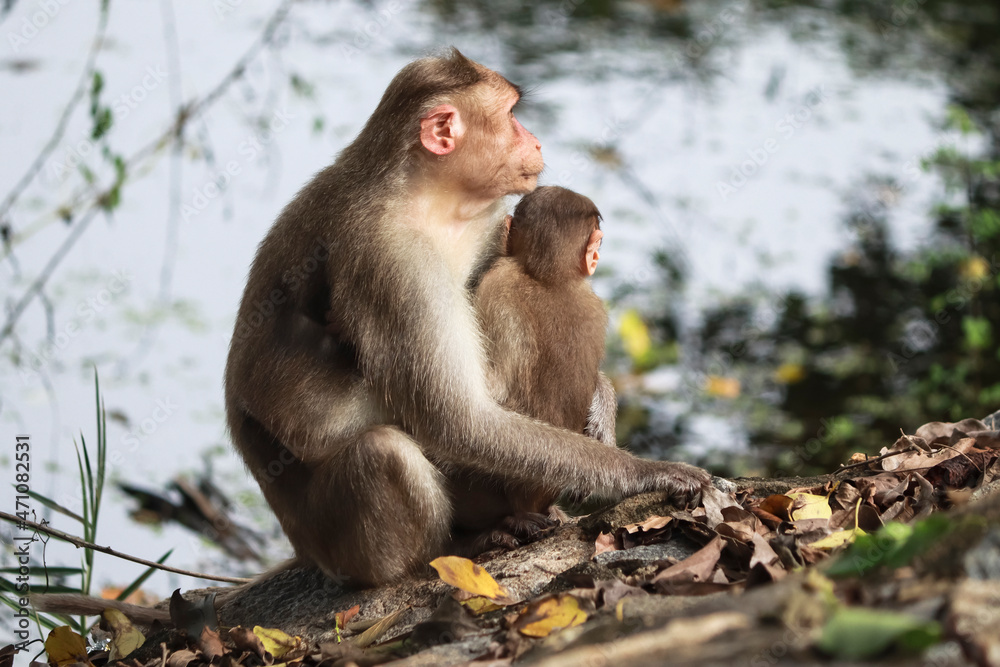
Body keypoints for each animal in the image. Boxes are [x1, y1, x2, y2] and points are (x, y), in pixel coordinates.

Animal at [223, 48, 711, 588]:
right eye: (512, 115)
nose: (535, 139)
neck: (422, 198)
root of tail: (302, 547)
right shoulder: (394, 260)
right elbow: (457, 419)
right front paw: (644, 471)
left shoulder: (486, 220)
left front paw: (602, 402)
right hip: (338, 549)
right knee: (384, 451)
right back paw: (449, 550)